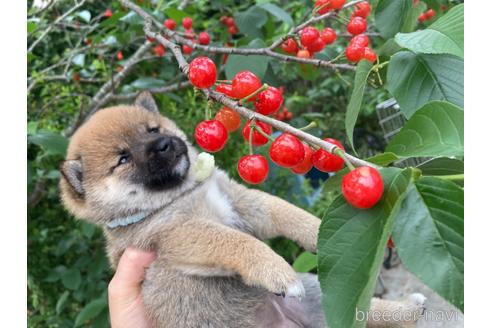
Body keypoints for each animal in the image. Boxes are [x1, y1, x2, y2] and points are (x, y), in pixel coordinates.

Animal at [60, 91, 422, 326]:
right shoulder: (179, 234)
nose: (163, 144)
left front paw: (316, 232)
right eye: (123, 159)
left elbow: (288, 213)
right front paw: (275, 269)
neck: (181, 195)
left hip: (317, 298)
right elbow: (236, 242)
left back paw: (408, 308)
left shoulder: (243, 203)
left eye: (154, 129)